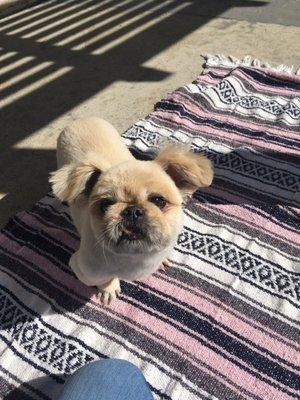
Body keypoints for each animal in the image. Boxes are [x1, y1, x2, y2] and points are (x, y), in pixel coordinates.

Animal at [49, 117, 213, 304]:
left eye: (159, 201)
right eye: (105, 204)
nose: (132, 210)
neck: (135, 258)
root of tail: (81, 119)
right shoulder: (84, 270)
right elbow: (103, 279)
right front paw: (109, 288)